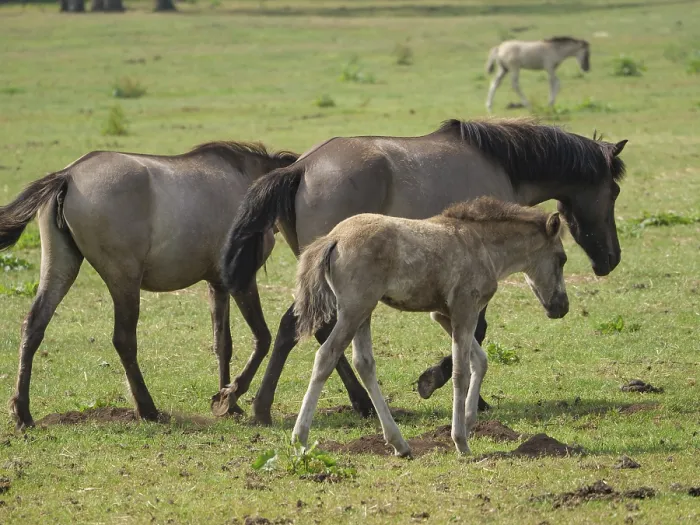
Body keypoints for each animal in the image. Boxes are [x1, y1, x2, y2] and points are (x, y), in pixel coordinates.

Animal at [0, 141, 298, 430]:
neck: (247, 181)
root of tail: (68, 175)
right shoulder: (242, 282)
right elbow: (262, 338)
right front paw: (231, 395)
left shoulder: (218, 284)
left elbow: (223, 344)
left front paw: (227, 400)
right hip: (124, 280)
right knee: (124, 340)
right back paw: (147, 408)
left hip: (61, 267)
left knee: (33, 326)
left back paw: (23, 413)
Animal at [219, 118, 627, 425]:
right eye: (615, 192)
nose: (612, 258)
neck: (502, 166)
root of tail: (300, 167)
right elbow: (476, 330)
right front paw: (440, 384)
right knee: (295, 327)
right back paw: (262, 407)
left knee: (318, 331)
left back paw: (358, 403)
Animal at [292, 197, 569, 456]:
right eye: (562, 259)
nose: (562, 306)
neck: (482, 245)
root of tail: (334, 237)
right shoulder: (465, 309)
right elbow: (461, 372)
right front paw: (460, 441)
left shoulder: (442, 314)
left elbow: (480, 360)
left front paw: (469, 421)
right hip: (354, 309)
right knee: (326, 355)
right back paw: (300, 438)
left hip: (364, 312)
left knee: (364, 363)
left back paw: (399, 444)